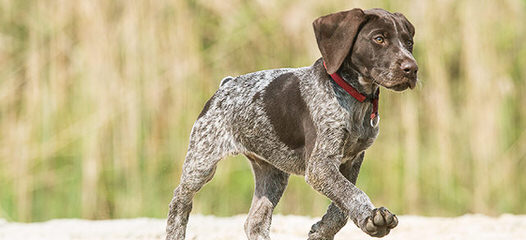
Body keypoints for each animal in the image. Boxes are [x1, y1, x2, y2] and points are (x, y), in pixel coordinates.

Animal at [167, 7, 418, 240]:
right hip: (201, 162)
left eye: (409, 42)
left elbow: (341, 205)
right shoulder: (320, 165)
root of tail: (226, 84)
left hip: (273, 174)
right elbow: (351, 193)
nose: (412, 69)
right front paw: (372, 218)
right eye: (379, 39)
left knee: (255, 222)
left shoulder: (352, 160)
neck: (354, 95)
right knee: (179, 201)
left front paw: (324, 230)